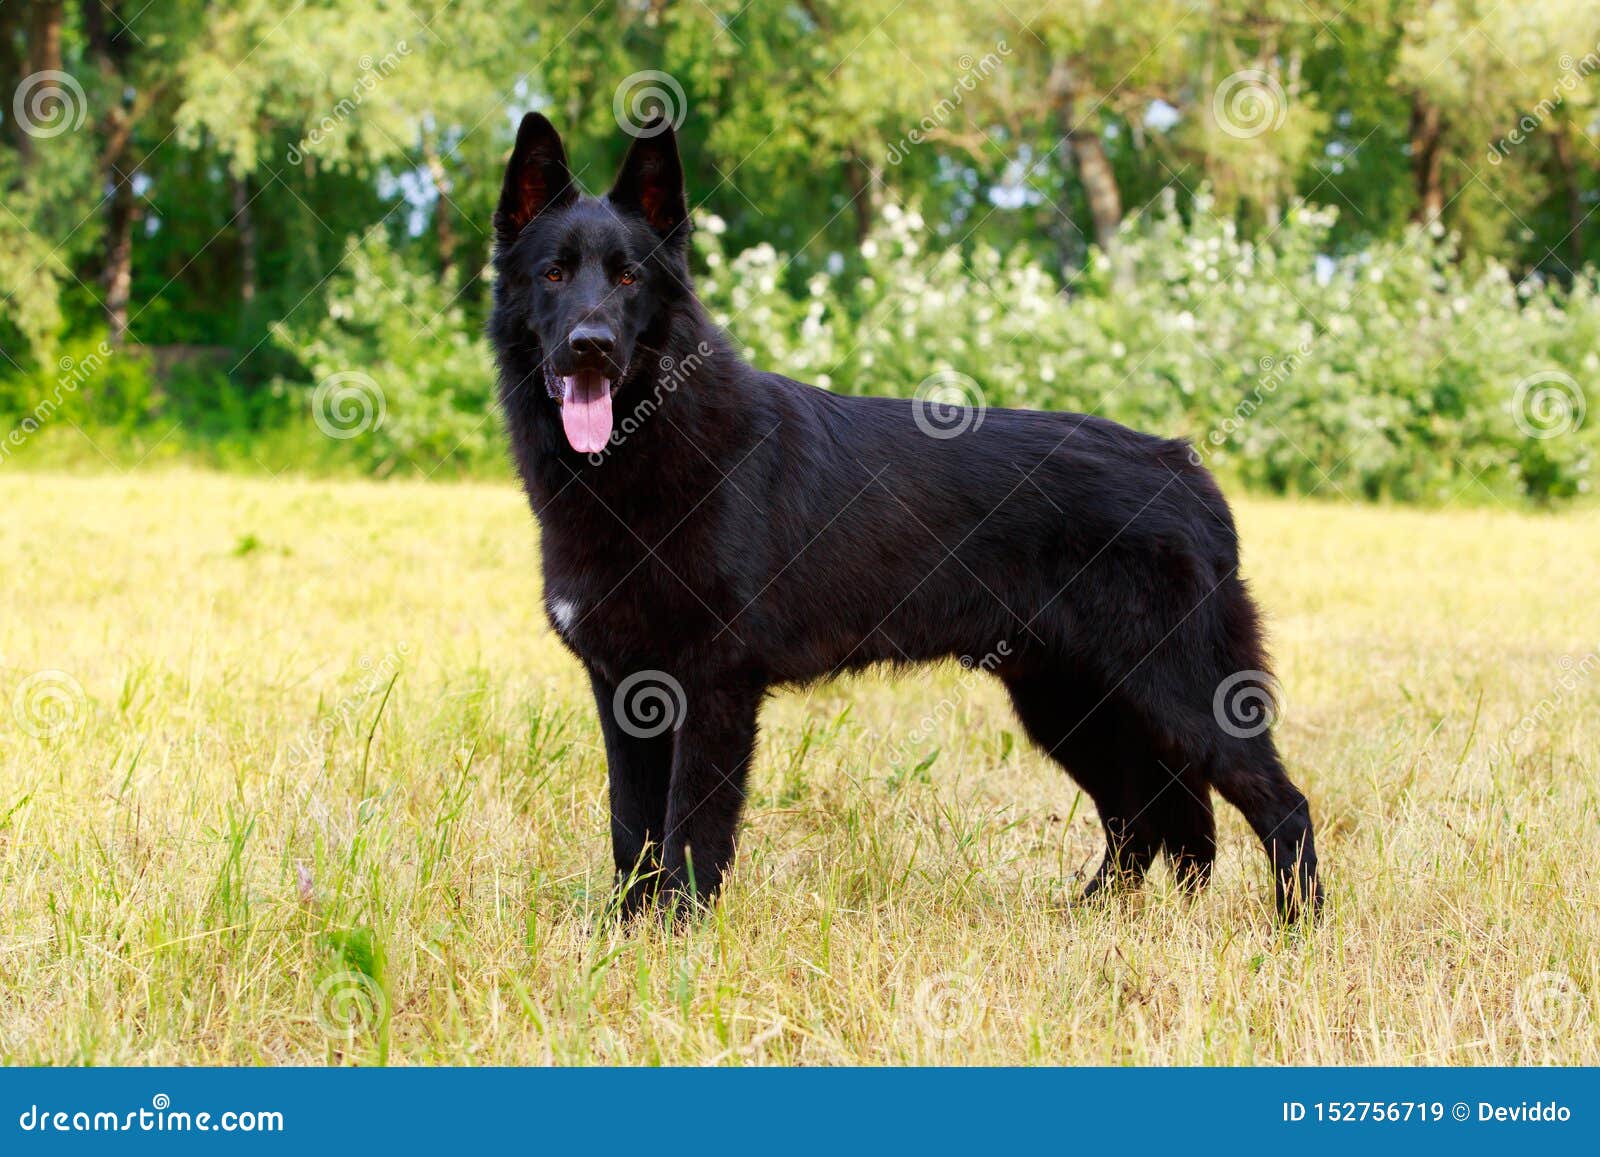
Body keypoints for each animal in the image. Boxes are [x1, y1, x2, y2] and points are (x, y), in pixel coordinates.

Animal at [486, 108, 1324, 921]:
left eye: (628, 277)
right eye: (554, 274)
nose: (590, 347)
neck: (644, 449)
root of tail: (1184, 467)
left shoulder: (713, 688)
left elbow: (692, 829)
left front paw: (677, 929)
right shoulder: (624, 688)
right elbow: (633, 831)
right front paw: (624, 932)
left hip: (1175, 697)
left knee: (1278, 805)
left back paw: (1298, 929)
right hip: (1070, 702)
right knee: (1149, 817)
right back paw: (1095, 918)